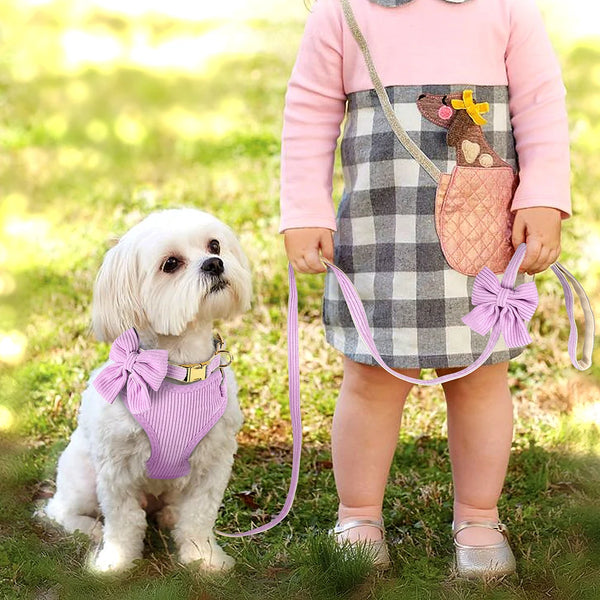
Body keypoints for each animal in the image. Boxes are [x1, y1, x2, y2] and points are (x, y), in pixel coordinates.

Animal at [44, 210, 251, 572]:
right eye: (170, 264)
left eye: (214, 245)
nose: (214, 263)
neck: (180, 368)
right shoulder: (116, 470)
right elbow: (123, 522)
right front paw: (115, 563)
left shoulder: (212, 462)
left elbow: (199, 516)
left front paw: (204, 558)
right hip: (83, 477)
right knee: (59, 509)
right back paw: (87, 528)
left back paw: (169, 516)